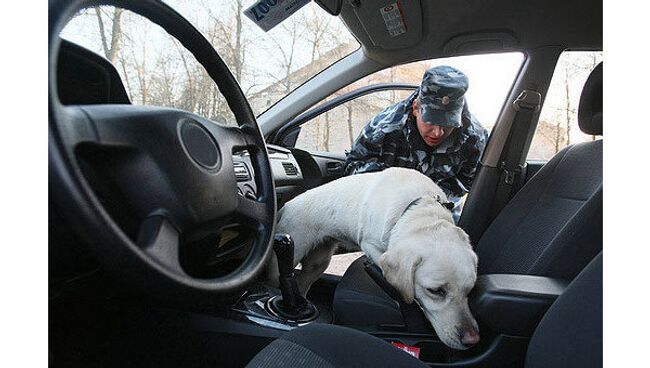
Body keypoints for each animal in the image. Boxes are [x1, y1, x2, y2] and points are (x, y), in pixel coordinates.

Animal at [270, 168, 478, 350]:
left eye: (470, 290)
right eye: (435, 291)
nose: (472, 339)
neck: (419, 209)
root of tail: (285, 206)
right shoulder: (370, 244)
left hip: (318, 263)